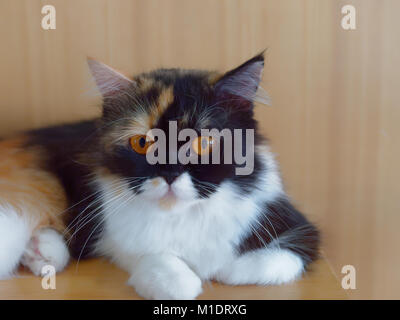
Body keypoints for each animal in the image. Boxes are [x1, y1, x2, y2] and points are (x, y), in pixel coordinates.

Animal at [0, 53, 318, 300]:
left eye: (202, 143)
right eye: (143, 143)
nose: (169, 173)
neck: (181, 216)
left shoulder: (301, 230)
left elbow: (269, 261)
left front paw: (221, 268)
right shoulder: (121, 236)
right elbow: (161, 262)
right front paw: (182, 280)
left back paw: (40, 254)